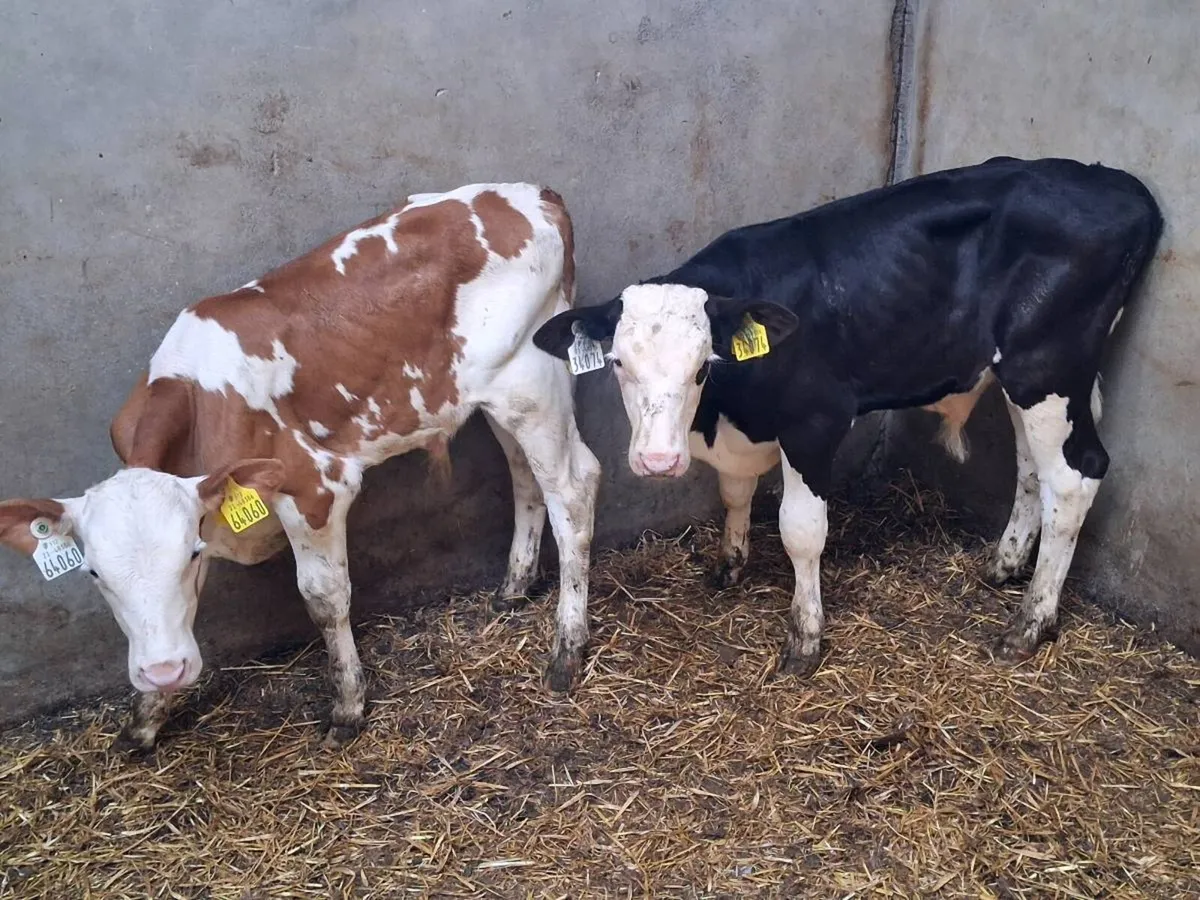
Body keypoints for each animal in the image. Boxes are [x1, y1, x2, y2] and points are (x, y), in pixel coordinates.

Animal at [0, 182, 600, 750]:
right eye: (94, 574)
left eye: (189, 555)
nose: (164, 671)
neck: (197, 397)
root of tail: (535, 194)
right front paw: (146, 717)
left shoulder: (316, 486)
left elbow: (323, 599)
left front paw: (348, 707)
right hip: (499, 394)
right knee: (526, 477)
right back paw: (515, 585)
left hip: (531, 384)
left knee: (573, 489)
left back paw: (566, 649)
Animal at [534, 157, 1162, 676]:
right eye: (618, 362)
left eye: (701, 367)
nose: (658, 460)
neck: (727, 413)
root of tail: (1119, 184)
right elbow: (735, 494)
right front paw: (729, 566)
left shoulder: (816, 423)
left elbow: (801, 530)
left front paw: (805, 638)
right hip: (1029, 378)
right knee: (1035, 467)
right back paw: (1004, 565)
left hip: (1047, 364)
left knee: (1077, 476)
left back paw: (1029, 623)